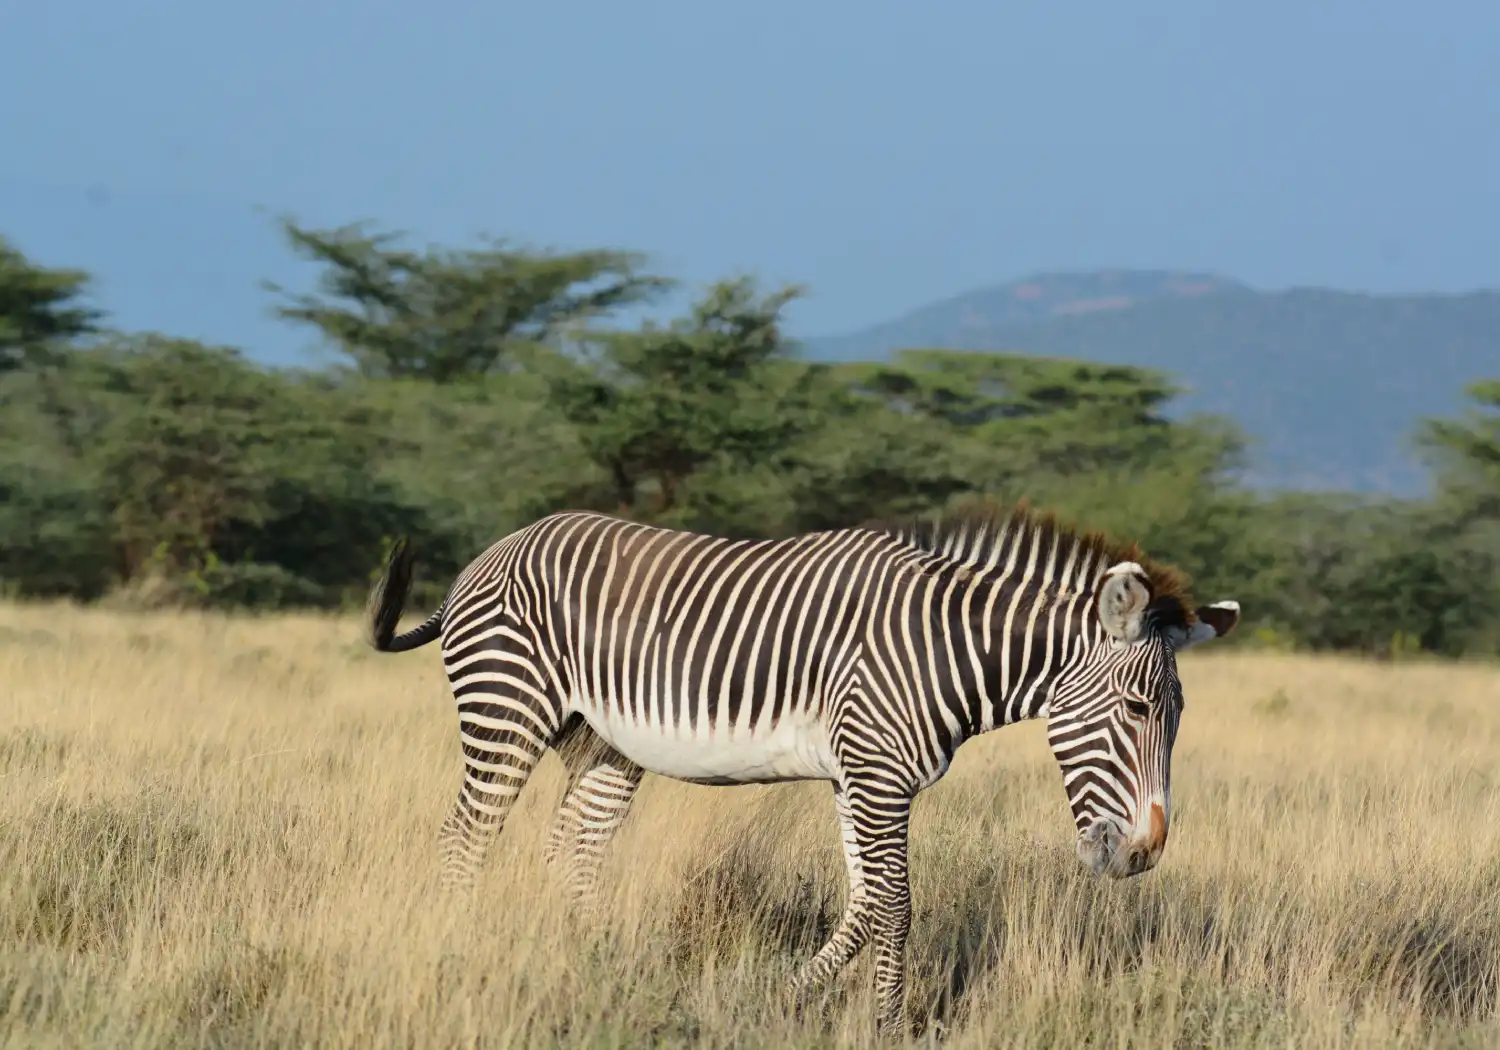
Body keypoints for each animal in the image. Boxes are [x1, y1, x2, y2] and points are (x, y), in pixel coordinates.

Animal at [366, 502, 1240, 1036]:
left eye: (1180, 719)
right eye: (1137, 710)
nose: (1144, 853)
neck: (940, 648)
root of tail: (494, 550)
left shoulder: (858, 775)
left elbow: (863, 905)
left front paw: (778, 1000)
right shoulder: (879, 774)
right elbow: (896, 907)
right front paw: (888, 1029)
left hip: (605, 743)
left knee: (571, 851)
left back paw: (587, 963)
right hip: (506, 707)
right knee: (464, 839)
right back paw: (459, 952)